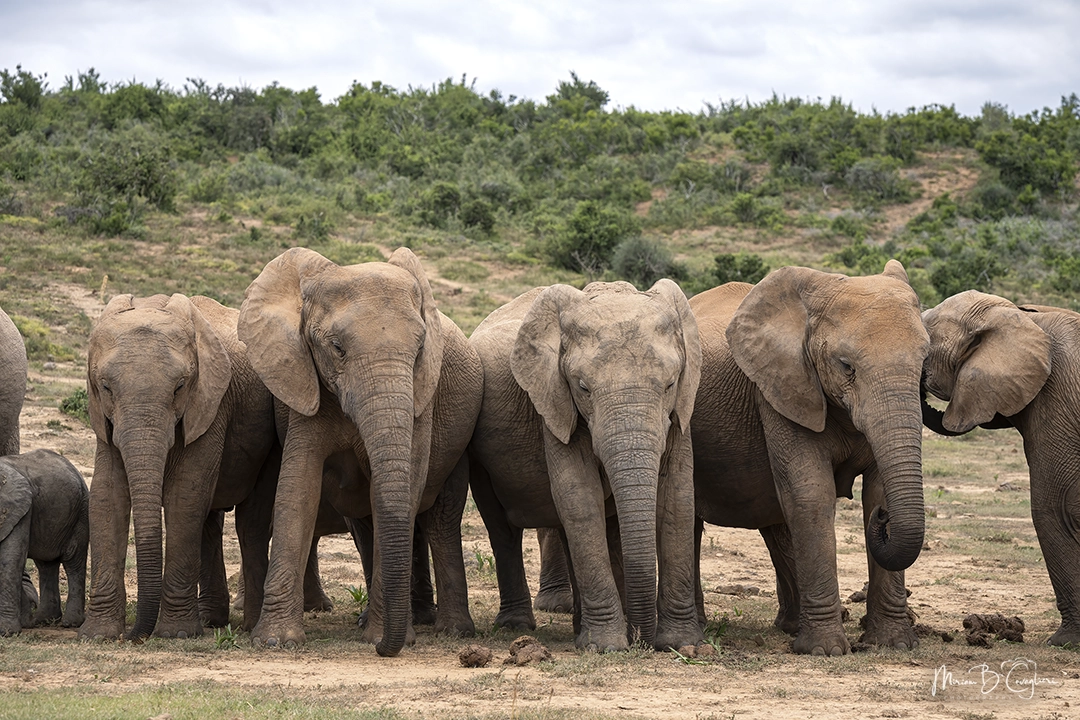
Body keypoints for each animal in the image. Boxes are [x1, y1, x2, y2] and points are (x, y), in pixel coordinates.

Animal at [0, 449, 88, 635]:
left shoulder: (19, 510)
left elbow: (10, 560)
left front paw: (7, 632)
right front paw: (25, 622)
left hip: (81, 512)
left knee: (73, 561)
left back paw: (70, 623)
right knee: (46, 564)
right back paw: (43, 620)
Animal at [78, 293, 281, 641]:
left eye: (179, 387)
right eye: (105, 387)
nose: (134, 635)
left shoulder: (211, 404)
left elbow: (185, 495)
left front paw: (176, 634)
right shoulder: (104, 420)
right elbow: (107, 496)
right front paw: (98, 635)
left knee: (250, 523)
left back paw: (250, 625)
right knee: (211, 522)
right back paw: (212, 619)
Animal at [237, 246, 480, 656]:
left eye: (420, 349)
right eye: (337, 348)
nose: (384, 648)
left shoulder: (423, 395)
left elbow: (407, 484)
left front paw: (386, 637)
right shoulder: (304, 385)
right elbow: (298, 489)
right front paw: (275, 641)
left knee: (440, 519)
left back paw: (452, 631)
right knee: (367, 523)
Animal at [468, 280, 703, 652]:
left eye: (669, 384)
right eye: (583, 387)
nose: (641, 640)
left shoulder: (682, 408)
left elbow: (677, 495)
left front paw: (680, 645)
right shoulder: (553, 403)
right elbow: (579, 496)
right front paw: (605, 646)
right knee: (502, 528)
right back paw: (516, 626)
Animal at [689, 261, 929, 656]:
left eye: (925, 365)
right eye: (846, 366)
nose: (883, 519)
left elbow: (876, 489)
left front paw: (892, 644)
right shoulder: (779, 389)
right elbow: (811, 494)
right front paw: (824, 650)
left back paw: (789, 627)